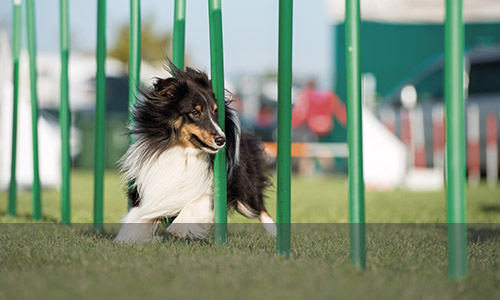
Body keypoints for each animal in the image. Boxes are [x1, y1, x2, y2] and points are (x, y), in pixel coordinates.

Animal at [115, 62, 276, 243]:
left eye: (215, 112)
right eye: (195, 112)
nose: (222, 139)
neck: (184, 152)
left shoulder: (216, 188)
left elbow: (196, 203)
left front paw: (178, 227)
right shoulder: (151, 186)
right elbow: (138, 214)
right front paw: (125, 239)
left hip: (245, 190)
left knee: (260, 208)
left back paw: (275, 233)